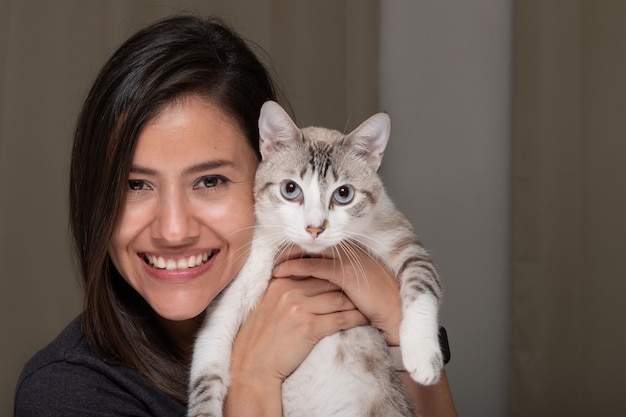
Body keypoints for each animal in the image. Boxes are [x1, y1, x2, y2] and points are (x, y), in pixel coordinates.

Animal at [188, 101, 442, 416]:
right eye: (290, 189)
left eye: (343, 193)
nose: (315, 227)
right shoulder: (238, 285)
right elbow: (209, 357)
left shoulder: (401, 239)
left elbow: (422, 284)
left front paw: (423, 356)